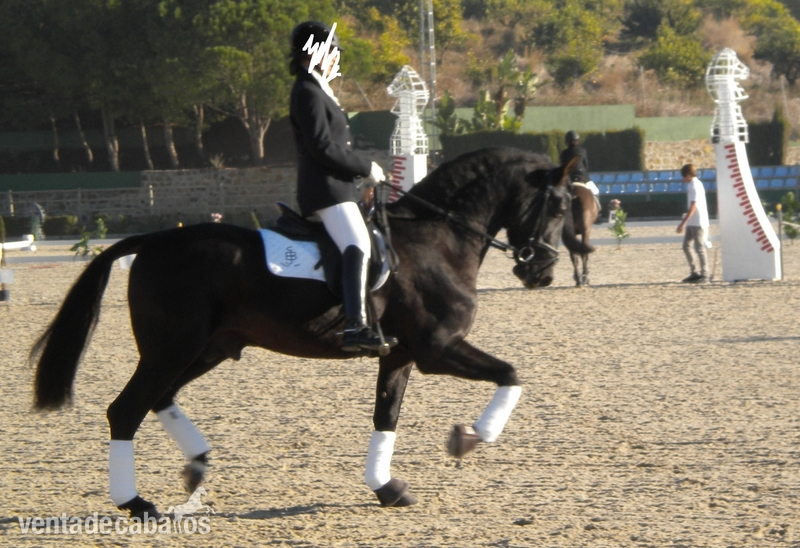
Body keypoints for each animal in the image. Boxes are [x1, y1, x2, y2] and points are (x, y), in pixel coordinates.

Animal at [30, 147, 590, 518]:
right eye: (561, 206)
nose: (541, 273)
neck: (438, 239)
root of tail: (153, 240)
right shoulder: (437, 349)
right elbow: (511, 374)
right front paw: (470, 437)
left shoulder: (400, 356)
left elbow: (386, 417)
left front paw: (387, 487)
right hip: (172, 348)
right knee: (126, 409)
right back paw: (136, 502)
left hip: (205, 349)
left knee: (159, 397)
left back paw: (197, 463)